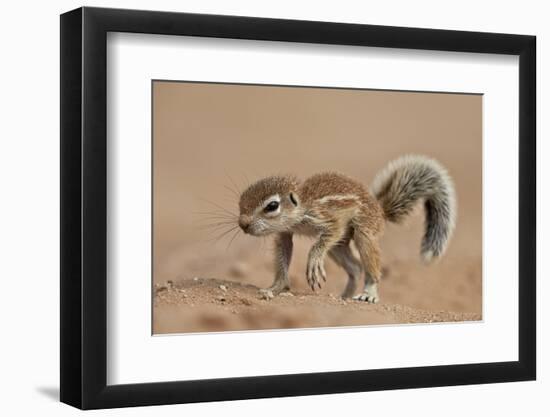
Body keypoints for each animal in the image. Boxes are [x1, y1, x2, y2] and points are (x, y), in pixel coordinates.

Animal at [237, 154, 458, 300]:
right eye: (241, 201)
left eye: (272, 206)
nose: (243, 224)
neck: (303, 204)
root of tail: (381, 211)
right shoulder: (285, 233)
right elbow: (284, 253)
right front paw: (275, 287)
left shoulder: (326, 219)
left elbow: (323, 239)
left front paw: (314, 262)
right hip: (339, 246)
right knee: (356, 268)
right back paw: (344, 296)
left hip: (364, 231)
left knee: (369, 266)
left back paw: (369, 293)